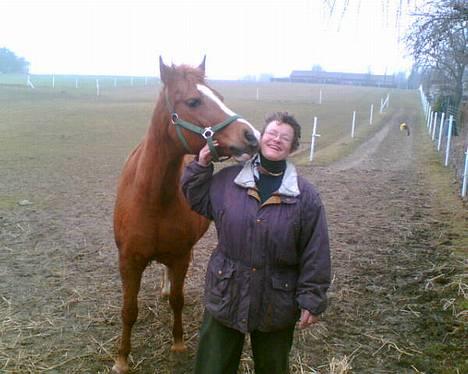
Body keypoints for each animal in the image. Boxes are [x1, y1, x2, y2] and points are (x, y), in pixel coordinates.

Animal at [113, 57, 260, 372]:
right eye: (193, 101)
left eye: (220, 96)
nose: (252, 136)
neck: (153, 199)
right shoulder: (128, 261)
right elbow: (129, 310)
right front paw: (121, 359)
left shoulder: (180, 256)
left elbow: (177, 301)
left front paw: (178, 344)